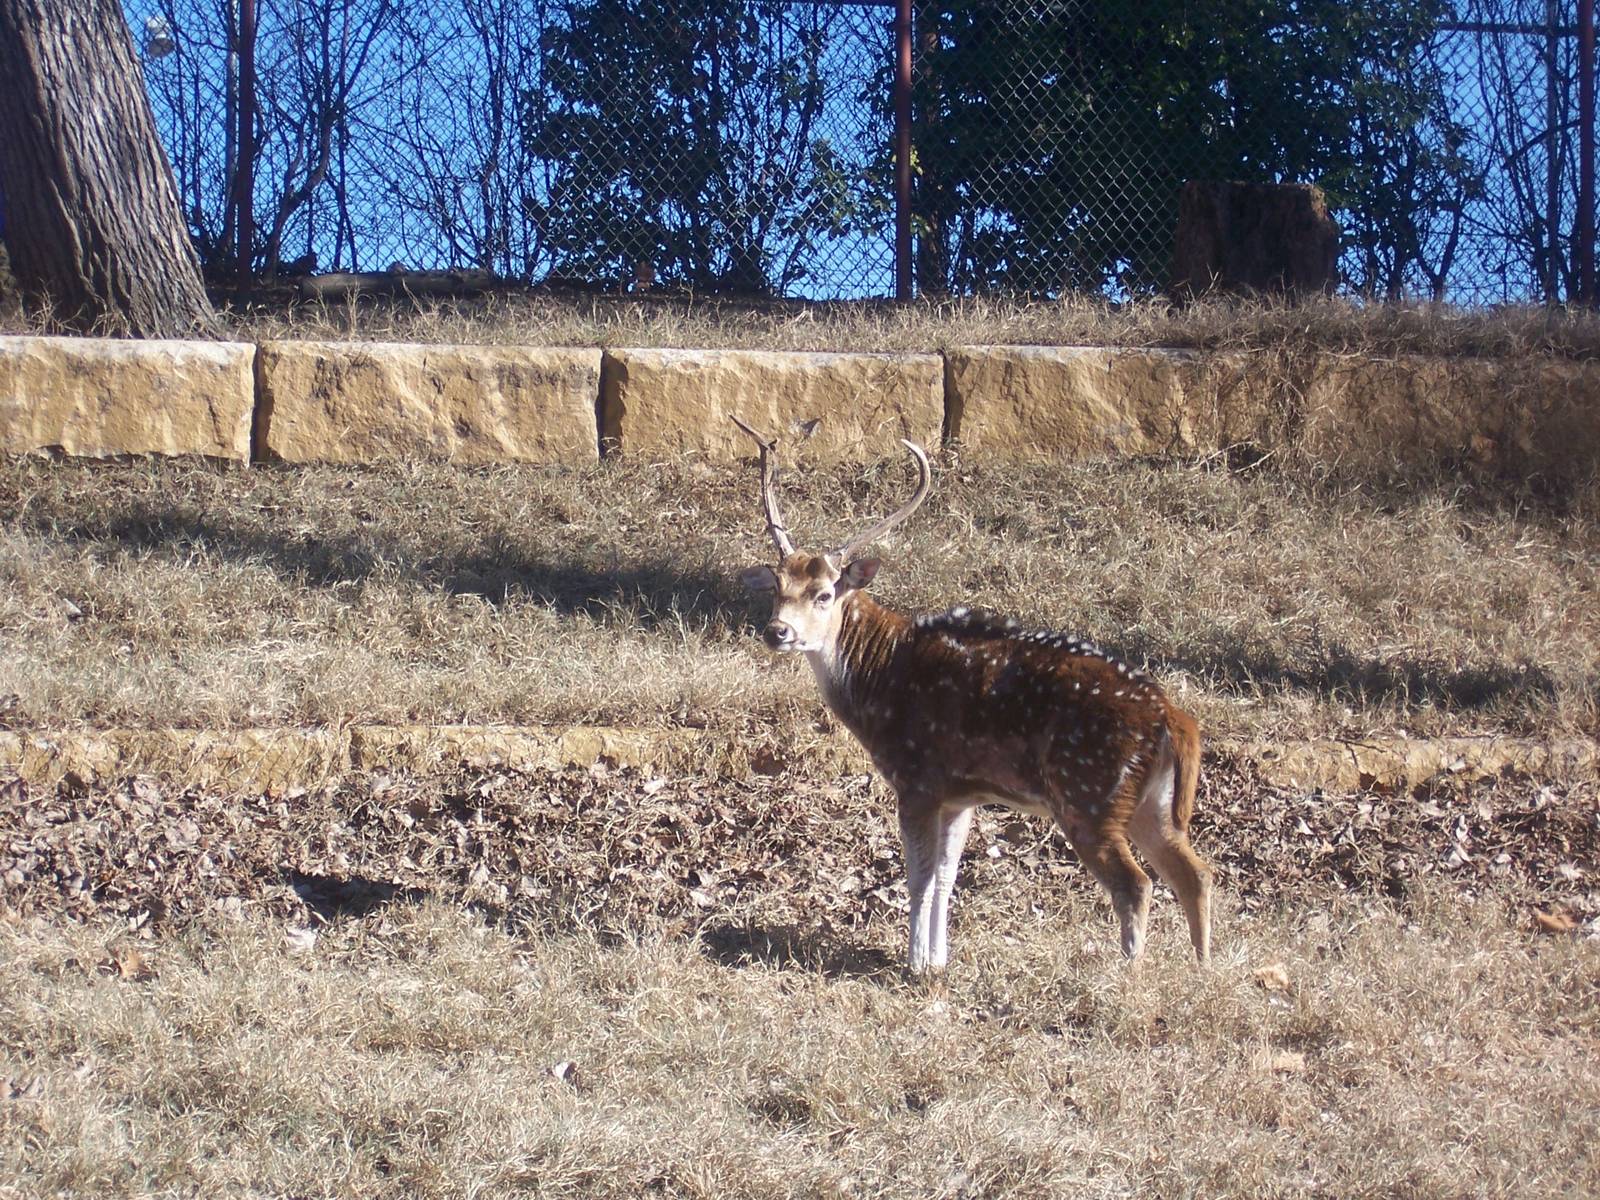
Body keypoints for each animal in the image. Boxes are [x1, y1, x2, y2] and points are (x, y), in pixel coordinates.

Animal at [732, 417, 1212, 974]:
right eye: (776, 588)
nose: (777, 631)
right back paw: (1202, 969)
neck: (879, 677)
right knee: (1194, 871)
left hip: (1089, 793)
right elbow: (946, 876)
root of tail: (1174, 721)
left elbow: (919, 878)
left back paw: (1126, 974)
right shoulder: (962, 794)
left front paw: (916, 965)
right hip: (1151, 803)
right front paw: (939, 960)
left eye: (825, 594)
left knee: (1136, 884)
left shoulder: (917, 777)